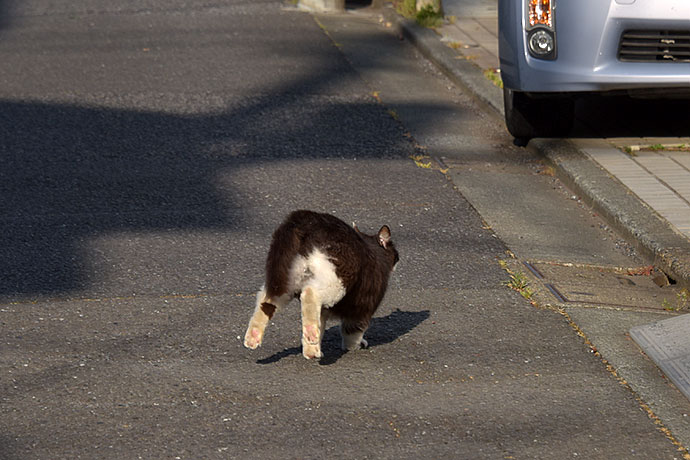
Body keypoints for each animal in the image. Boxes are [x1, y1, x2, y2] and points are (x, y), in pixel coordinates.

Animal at [246, 211, 398, 360]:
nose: (397, 259)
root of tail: (302, 222)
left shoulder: (325, 310)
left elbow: (321, 323)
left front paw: (311, 346)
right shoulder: (365, 304)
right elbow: (354, 329)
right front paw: (354, 346)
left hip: (283, 276)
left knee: (267, 301)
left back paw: (255, 337)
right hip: (337, 280)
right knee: (310, 293)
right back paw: (311, 343)